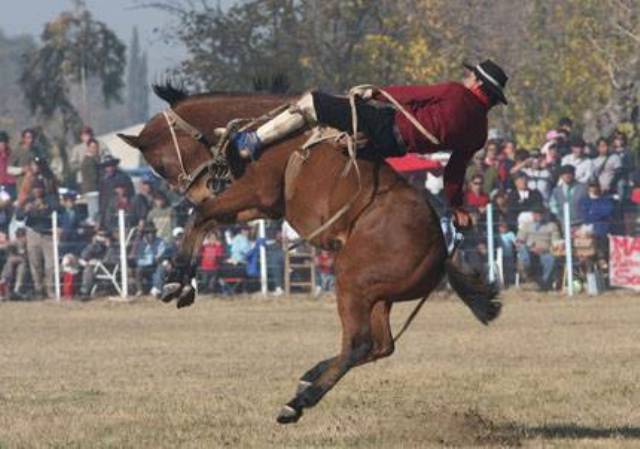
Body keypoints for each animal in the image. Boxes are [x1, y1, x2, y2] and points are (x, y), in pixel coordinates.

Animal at [119, 84, 500, 424]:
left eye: (161, 164)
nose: (199, 190)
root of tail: (442, 252)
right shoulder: (259, 205)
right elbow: (205, 222)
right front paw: (182, 285)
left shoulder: (257, 192)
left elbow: (200, 217)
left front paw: (174, 282)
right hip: (377, 296)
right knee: (379, 346)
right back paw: (309, 377)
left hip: (351, 282)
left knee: (360, 344)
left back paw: (297, 402)